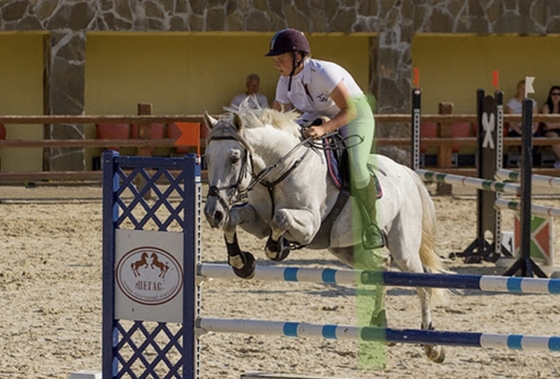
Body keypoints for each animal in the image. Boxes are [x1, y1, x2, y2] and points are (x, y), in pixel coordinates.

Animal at [201, 105, 446, 364]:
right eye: (207, 157)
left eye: (234, 158)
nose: (212, 212)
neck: (281, 169)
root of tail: (406, 173)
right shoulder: (259, 221)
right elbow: (233, 219)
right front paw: (242, 263)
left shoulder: (309, 225)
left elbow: (281, 218)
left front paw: (278, 248)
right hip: (346, 248)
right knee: (381, 266)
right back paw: (380, 325)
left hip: (404, 247)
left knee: (422, 283)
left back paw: (433, 346)